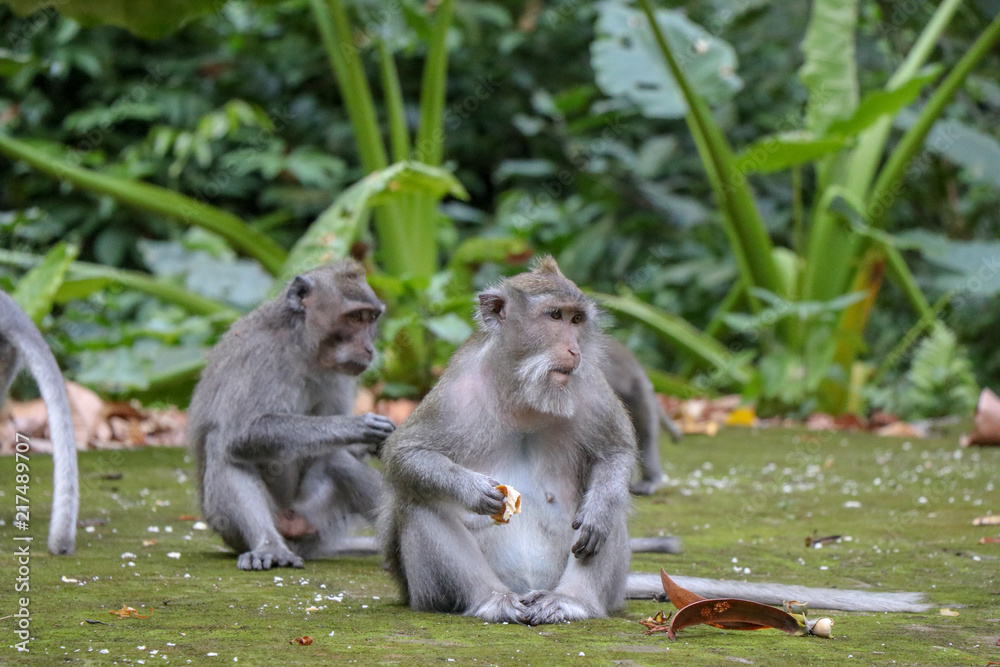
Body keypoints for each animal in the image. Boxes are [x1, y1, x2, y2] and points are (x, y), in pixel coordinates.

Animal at [187, 260, 396, 571]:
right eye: (356, 317)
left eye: (371, 318)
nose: (370, 349)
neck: (303, 347)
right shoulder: (261, 356)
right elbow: (242, 433)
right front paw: (359, 426)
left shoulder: (338, 376)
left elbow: (337, 451)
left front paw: (372, 443)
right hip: (228, 525)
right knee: (222, 446)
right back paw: (268, 545)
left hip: (317, 518)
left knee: (338, 461)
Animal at [378, 256, 637, 625]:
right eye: (555, 316)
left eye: (576, 319)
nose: (574, 349)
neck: (523, 392)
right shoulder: (455, 392)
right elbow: (404, 453)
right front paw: (471, 490)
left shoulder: (590, 386)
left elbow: (615, 454)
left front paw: (598, 512)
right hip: (427, 593)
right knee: (417, 500)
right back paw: (491, 598)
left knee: (611, 508)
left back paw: (572, 599)